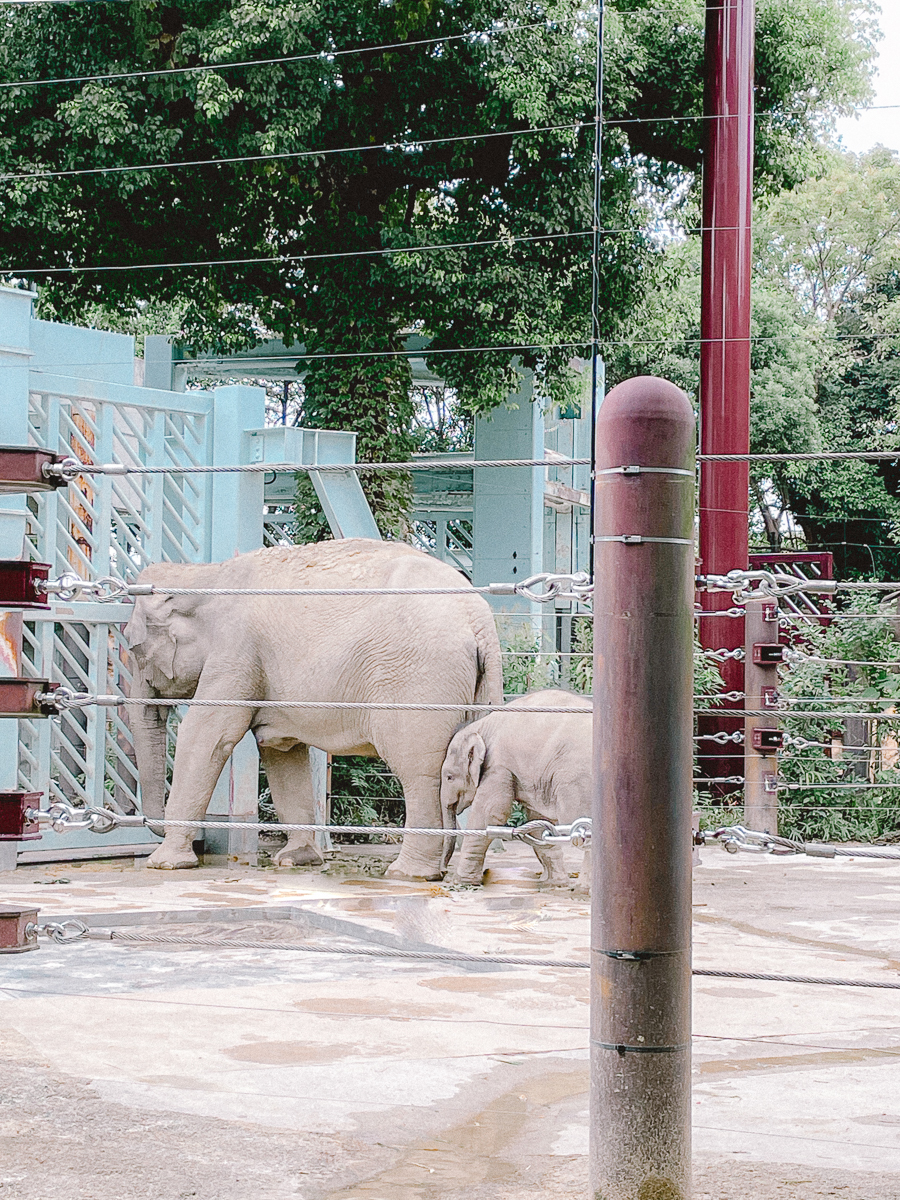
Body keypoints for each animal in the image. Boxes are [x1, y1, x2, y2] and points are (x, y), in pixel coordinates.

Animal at [123, 537, 504, 883]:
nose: (151, 826)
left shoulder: (235, 650)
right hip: (477, 688)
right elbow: (280, 750)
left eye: (135, 648)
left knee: (419, 773)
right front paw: (296, 860)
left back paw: (408, 874)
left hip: (420, 681)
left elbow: (208, 733)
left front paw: (164, 864)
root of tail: (479, 621)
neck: (206, 574)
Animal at [441, 691, 595, 888]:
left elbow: (489, 813)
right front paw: (554, 883)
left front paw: (460, 881)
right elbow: (538, 823)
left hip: (577, 780)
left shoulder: (498, 765)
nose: (443, 873)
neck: (481, 726)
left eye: (449, 777)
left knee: (581, 824)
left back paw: (584, 888)